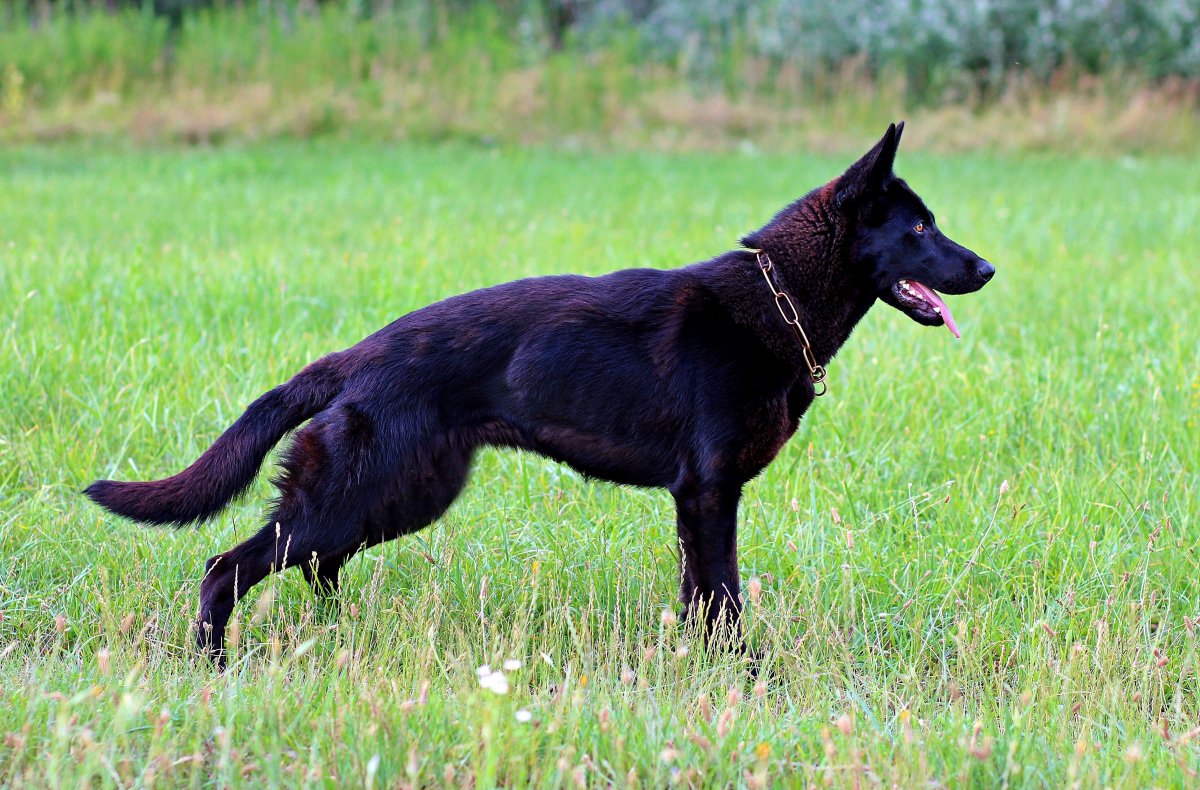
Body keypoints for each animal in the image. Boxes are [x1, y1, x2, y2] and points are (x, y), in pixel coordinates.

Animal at [87, 123, 993, 662]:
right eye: (919, 229)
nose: (987, 269)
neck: (776, 302)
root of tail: (353, 358)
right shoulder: (709, 494)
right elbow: (725, 598)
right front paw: (743, 677)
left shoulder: (698, 502)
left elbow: (702, 597)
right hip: (362, 494)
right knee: (226, 566)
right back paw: (215, 664)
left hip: (395, 495)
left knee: (317, 568)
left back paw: (341, 638)